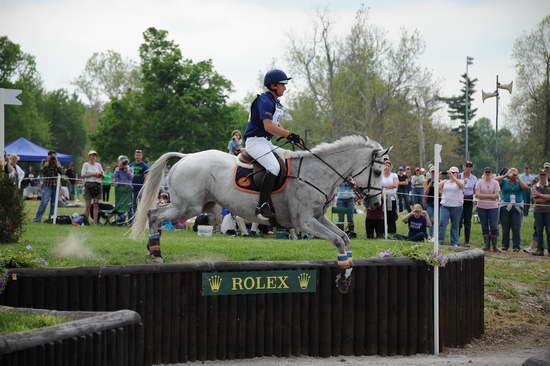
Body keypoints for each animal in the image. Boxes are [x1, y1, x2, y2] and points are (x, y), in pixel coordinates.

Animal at [133, 136, 392, 294]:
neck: (318, 172)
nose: (376, 203)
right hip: (188, 207)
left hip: (195, 205)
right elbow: (338, 240)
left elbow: (345, 238)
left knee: (154, 215)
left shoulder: (319, 218)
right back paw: (155, 253)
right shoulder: (306, 222)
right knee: (153, 214)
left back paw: (152, 250)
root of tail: (186, 157)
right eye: (378, 172)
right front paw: (344, 275)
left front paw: (345, 275)